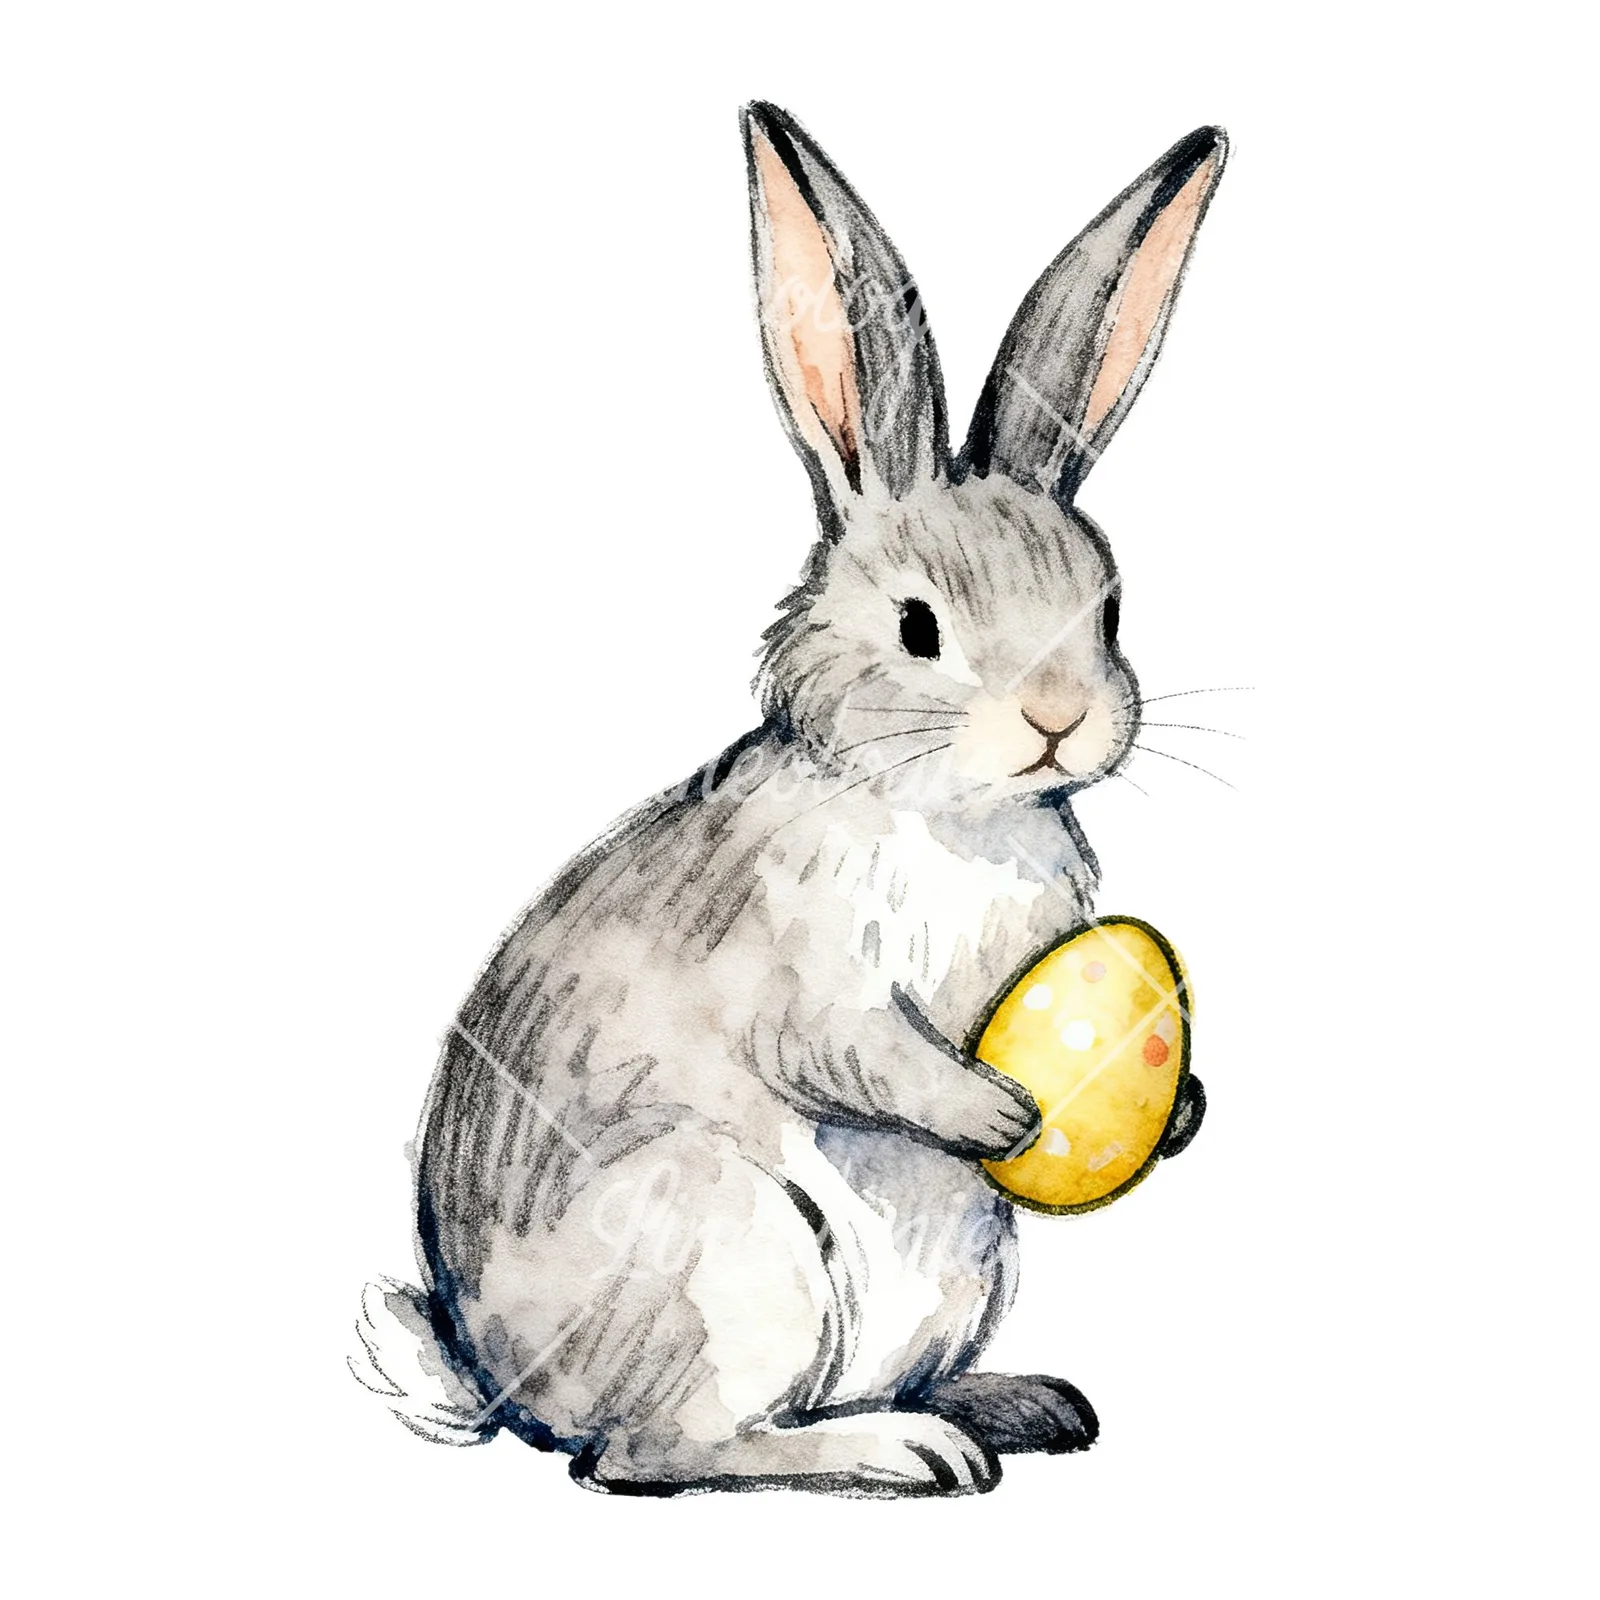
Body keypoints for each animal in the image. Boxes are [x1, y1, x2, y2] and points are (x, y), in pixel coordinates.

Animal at [350, 101, 1224, 1496]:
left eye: (1107, 609)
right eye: (919, 626)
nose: (1056, 722)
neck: (946, 808)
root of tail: (503, 1389)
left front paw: (1182, 1108)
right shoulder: (805, 975)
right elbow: (855, 1051)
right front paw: (1005, 1107)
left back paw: (1013, 1404)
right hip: (726, 1240)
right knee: (650, 1453)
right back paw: (904, 1451)